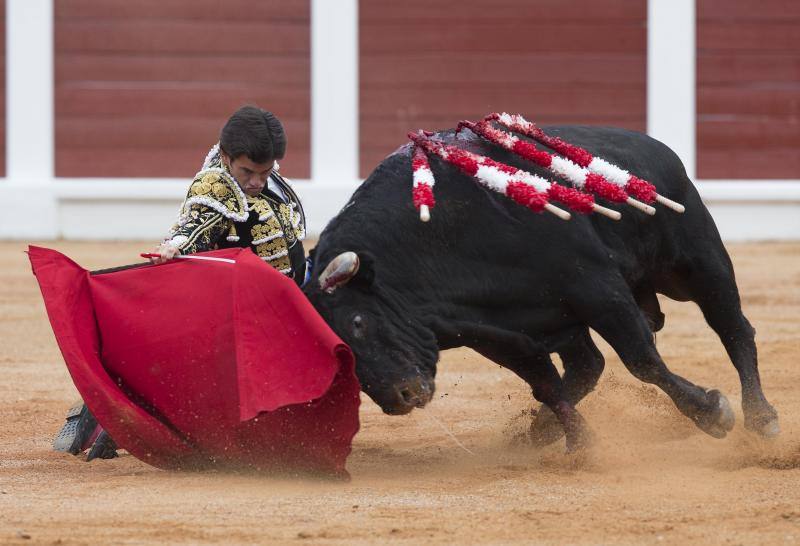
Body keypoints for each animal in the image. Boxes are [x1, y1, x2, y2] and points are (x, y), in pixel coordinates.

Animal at [304, 125, 780, 448]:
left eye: (359, 322)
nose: (400, 397)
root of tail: (657, 148)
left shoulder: (598, 288)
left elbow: (643, 361)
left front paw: (711, 412)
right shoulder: (496, 332)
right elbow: (546, 385)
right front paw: (580, 445)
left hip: (699, 264)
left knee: (734, 329)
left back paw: (761, 417)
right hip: (567, 320)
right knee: (587, 365)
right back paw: (540, 429)